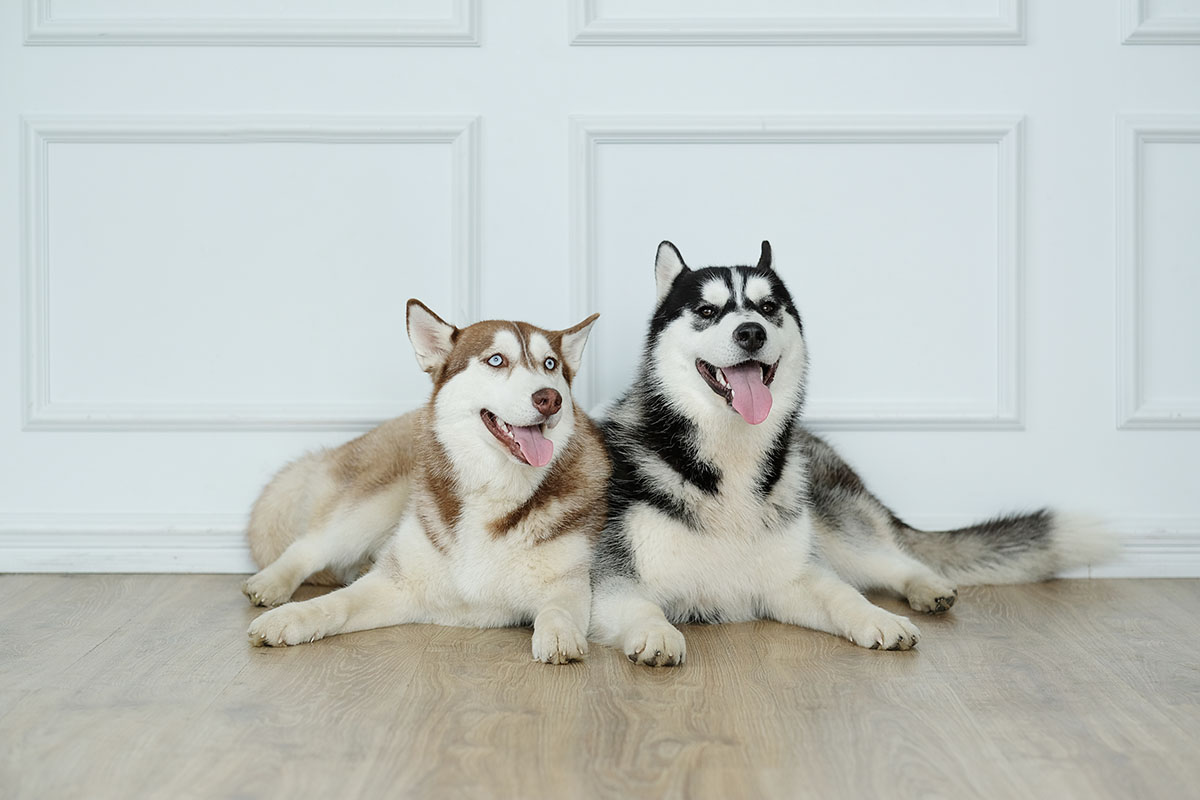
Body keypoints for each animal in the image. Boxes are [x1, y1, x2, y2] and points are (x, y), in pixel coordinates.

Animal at [241, 299, 609, 662]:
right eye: (496, 360)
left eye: (550, 364)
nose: (550, 398)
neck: (492, 488)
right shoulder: (399, 583)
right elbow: (335, 603)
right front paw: (291, 617)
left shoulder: (568, 582)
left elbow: (558, 608)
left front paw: (559, 632)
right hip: (378, 502)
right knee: (309, 545)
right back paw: (270, 582)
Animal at [590, 241, 1113, 666]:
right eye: (706, 309)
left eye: (768, 306)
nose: (751, 332)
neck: (729, 458)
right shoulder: (608, 586)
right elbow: (641, 606)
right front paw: (657, 633)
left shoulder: (793, 578)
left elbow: (843, 596)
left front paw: (878, 618)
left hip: (834, 527)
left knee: (892, 559)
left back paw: (926, 586)